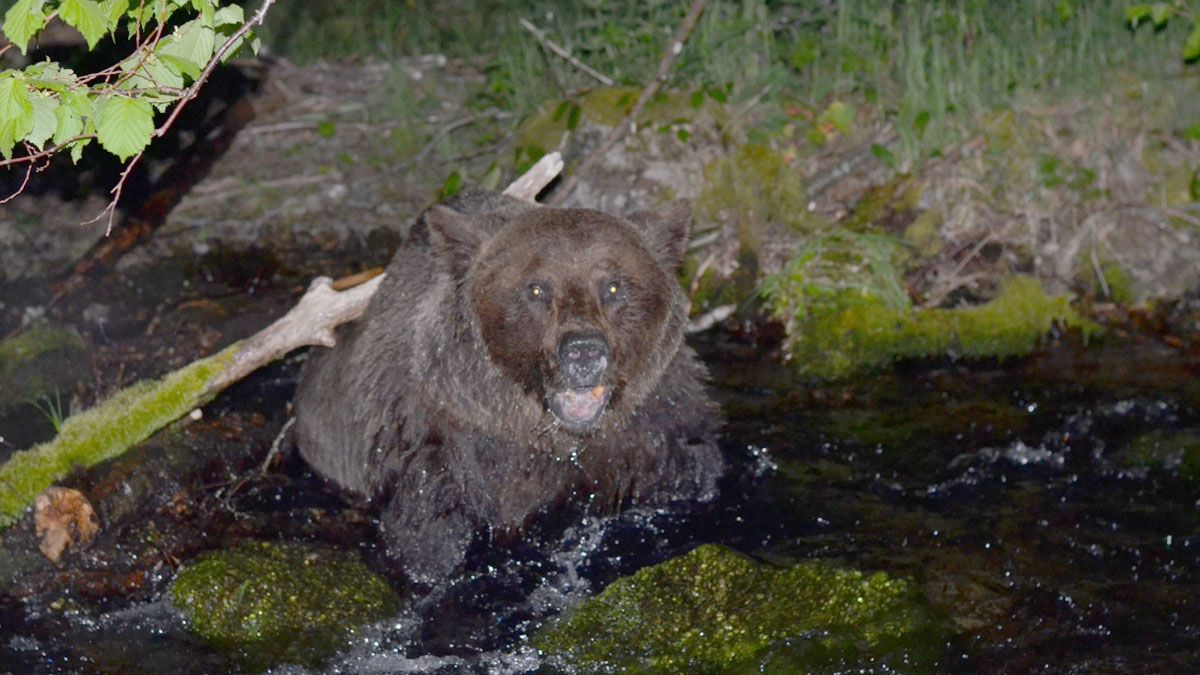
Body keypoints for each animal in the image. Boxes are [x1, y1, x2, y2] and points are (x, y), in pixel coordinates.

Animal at [292, 189, 720, 583]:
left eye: (613, 287)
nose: (583, 351)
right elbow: (426, 544)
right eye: (536, 289)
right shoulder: (436, 456)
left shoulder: (659, 432)